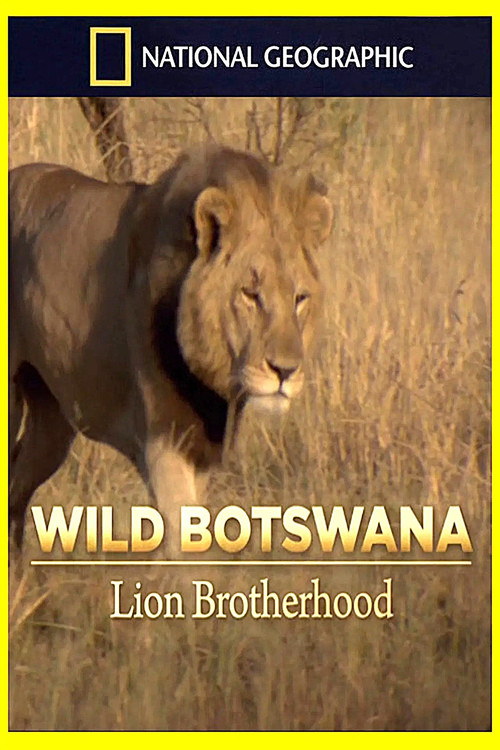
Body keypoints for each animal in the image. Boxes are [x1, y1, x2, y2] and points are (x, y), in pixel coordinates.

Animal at [9, 145, 333, 548]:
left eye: (299, 299)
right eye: (250, 294)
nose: (285, 371)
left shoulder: (203, 448)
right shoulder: (164, 440)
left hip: (52, 422)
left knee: (17, 487)